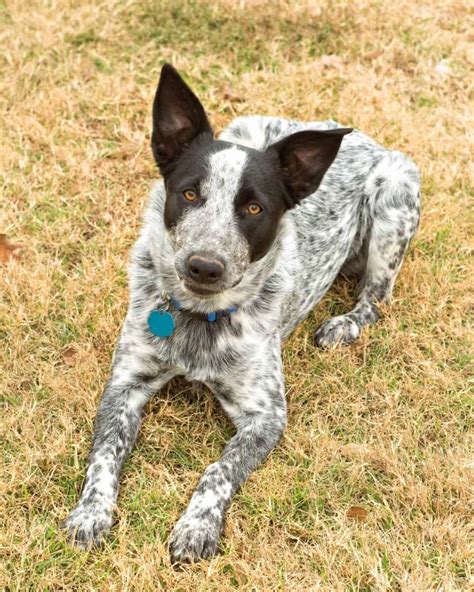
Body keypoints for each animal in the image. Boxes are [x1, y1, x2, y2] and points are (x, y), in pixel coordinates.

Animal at [61, 62, 420, 560]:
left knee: (376, 299)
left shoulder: (265, 416)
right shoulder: (125, 385)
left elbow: (218, 470)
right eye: (189, 194)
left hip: (395, 198)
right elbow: (103, 457)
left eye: (253, 207)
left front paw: (197, 526)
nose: (204, 265)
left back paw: (343, 325)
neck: (199, 316)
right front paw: (91, 513)